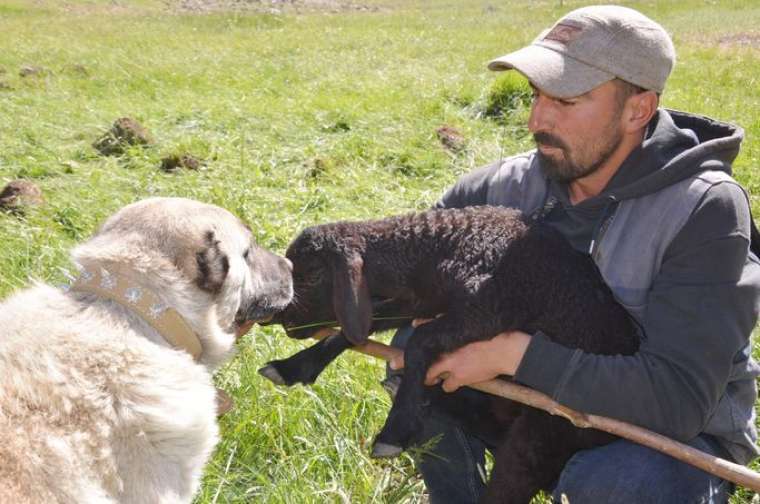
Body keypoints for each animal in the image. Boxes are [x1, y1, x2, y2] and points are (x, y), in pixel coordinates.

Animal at [262, 206, 640, 504]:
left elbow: (419, 341)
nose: (275, 316)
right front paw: (293, 367)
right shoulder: (420, 301)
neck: (437, 248)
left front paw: (394, 430)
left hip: (543, 432)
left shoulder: (488, 308)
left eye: (312, 275)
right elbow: (360, 327)